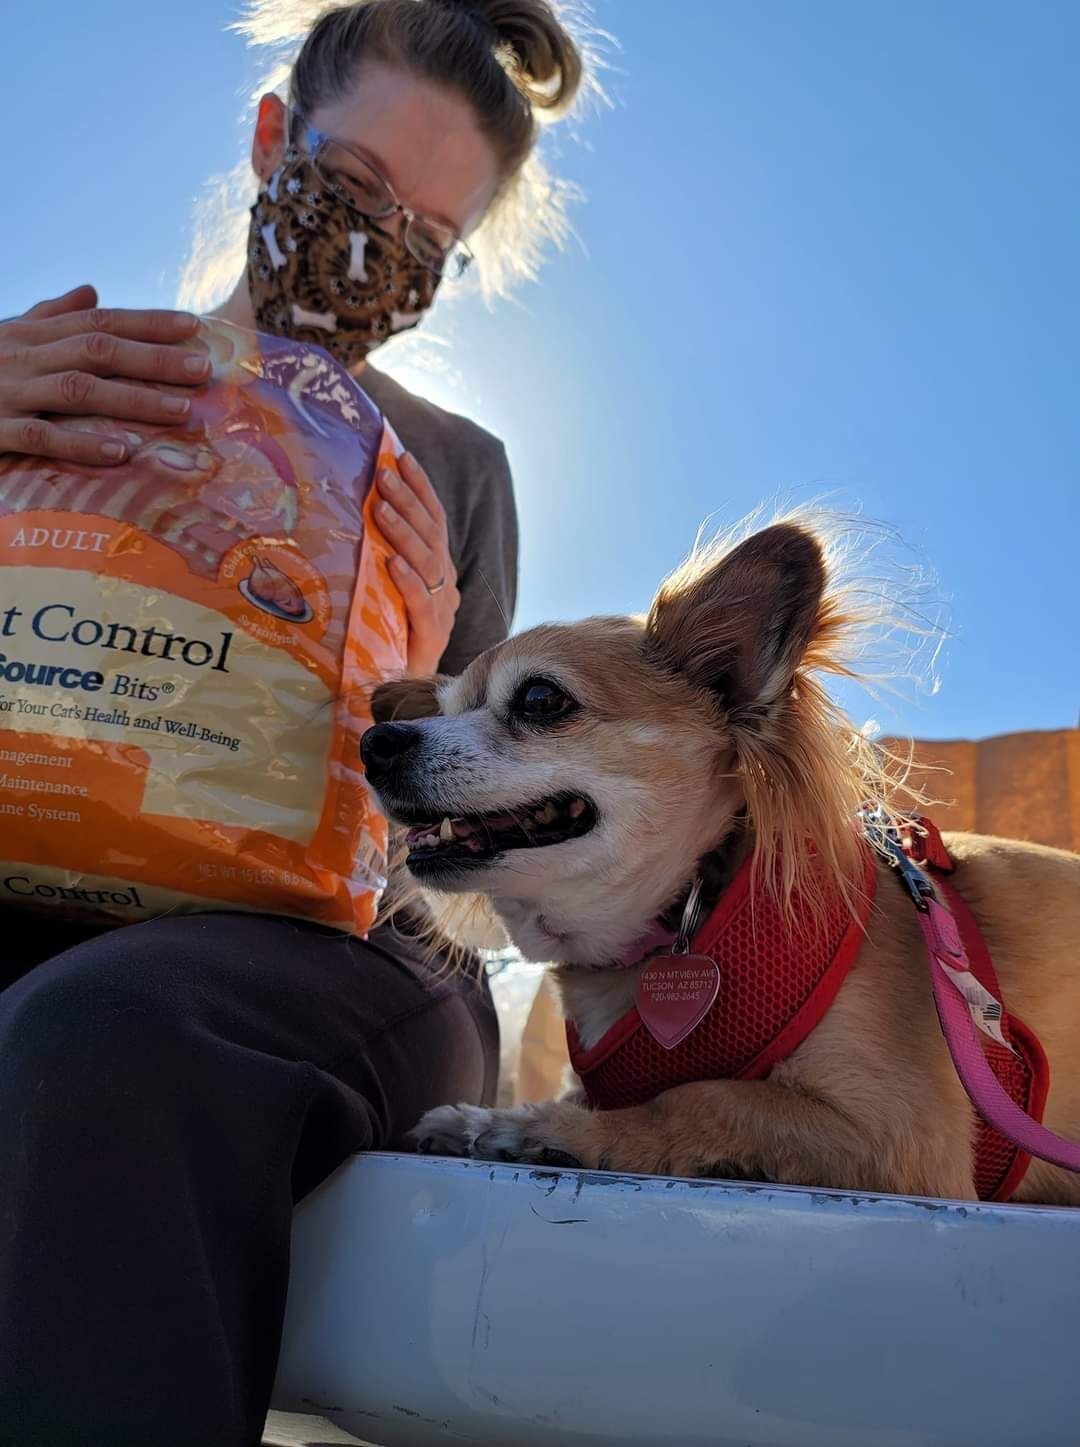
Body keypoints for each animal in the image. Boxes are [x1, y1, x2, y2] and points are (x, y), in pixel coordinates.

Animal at [361, 515, 1077, 1203]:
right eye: (444, 710)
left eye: (541, 699)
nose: (376, 741)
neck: (691, 908)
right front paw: (483, 1121)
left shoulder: (905, 1138)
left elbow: (698, 1097)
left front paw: (540, 1130)